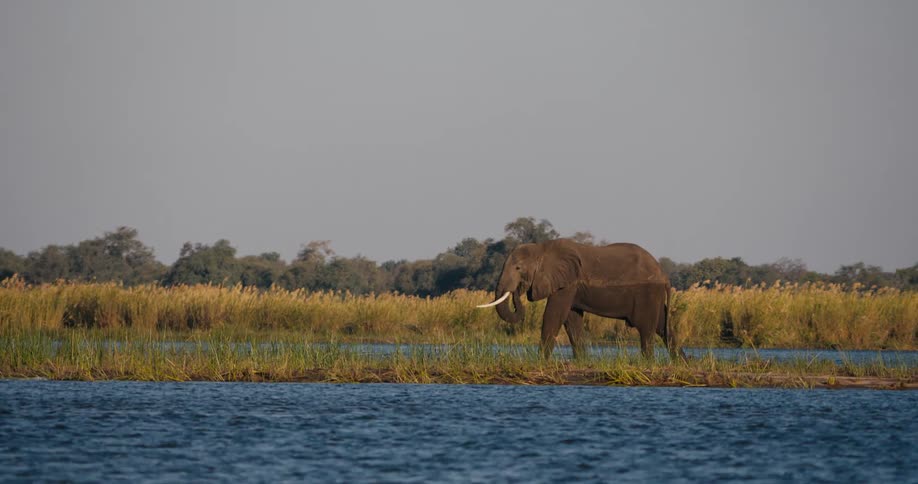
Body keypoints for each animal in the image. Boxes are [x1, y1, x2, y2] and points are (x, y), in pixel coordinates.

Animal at [477, 239, 680, 359]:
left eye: (518, 268)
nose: (518, 290)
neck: (542, 248)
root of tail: (664, 275)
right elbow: (571, 319)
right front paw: (581, 361)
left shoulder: (567, 283)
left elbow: (554, 315)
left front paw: (540, 361)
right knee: (663, 328)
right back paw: (680, 363)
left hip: (648, 293)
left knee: (647, 329)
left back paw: (648, 363)